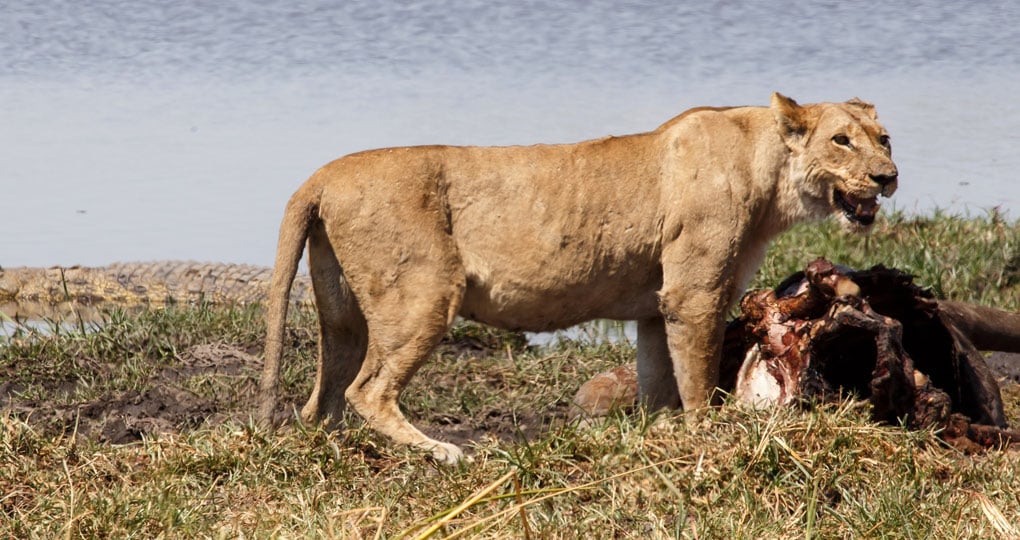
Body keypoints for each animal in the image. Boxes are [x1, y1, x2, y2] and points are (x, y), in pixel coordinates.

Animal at [258, 92, 898, 464]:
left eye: (884, 139)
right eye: (841, 140)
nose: (887, 176)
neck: (770, 175)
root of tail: (319, 176)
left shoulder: (654, 306)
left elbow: (659, 381)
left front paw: (656, 433)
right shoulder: (693, 294)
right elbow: (696, 377)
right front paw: (706, 434)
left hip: (343, 312)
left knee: (323, 399)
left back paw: (334, 447)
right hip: (424, 293)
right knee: (366, 390)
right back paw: (443, 452)